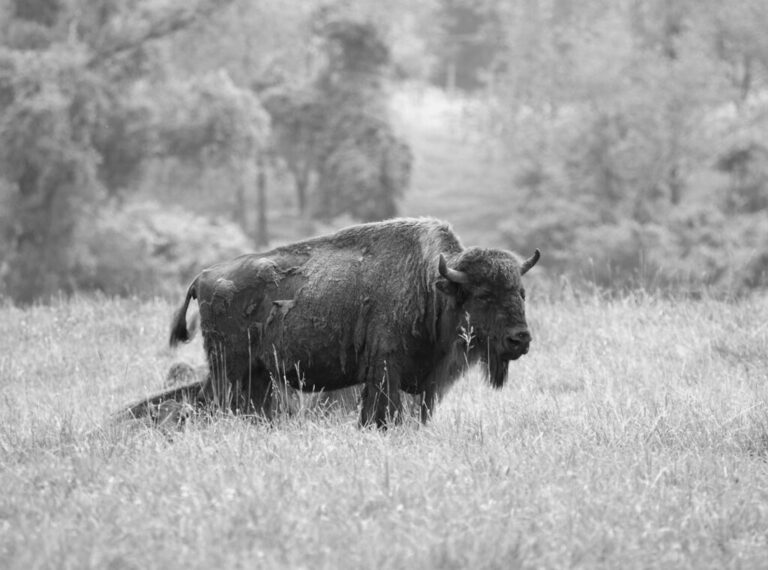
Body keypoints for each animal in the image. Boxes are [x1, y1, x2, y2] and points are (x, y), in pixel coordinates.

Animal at [132, 218, 539, 427]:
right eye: (483, 295)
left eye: (521, 292)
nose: (520, 339)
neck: (432, 284)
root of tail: (203, 276)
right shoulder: (385, 372)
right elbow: (382, 414)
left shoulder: (424, 383)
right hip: (228, 370)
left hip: (257, 375)